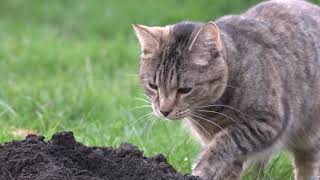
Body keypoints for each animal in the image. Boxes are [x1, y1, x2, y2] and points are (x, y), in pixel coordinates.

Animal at [132, 0, 320, 179]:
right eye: (153, 86)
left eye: (185, 90)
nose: (164, 111)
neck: (212, 113)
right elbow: (229, 164)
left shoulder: (268, 121)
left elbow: (227, 140)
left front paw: (203, 166)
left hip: (308, 132)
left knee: (306, 161)